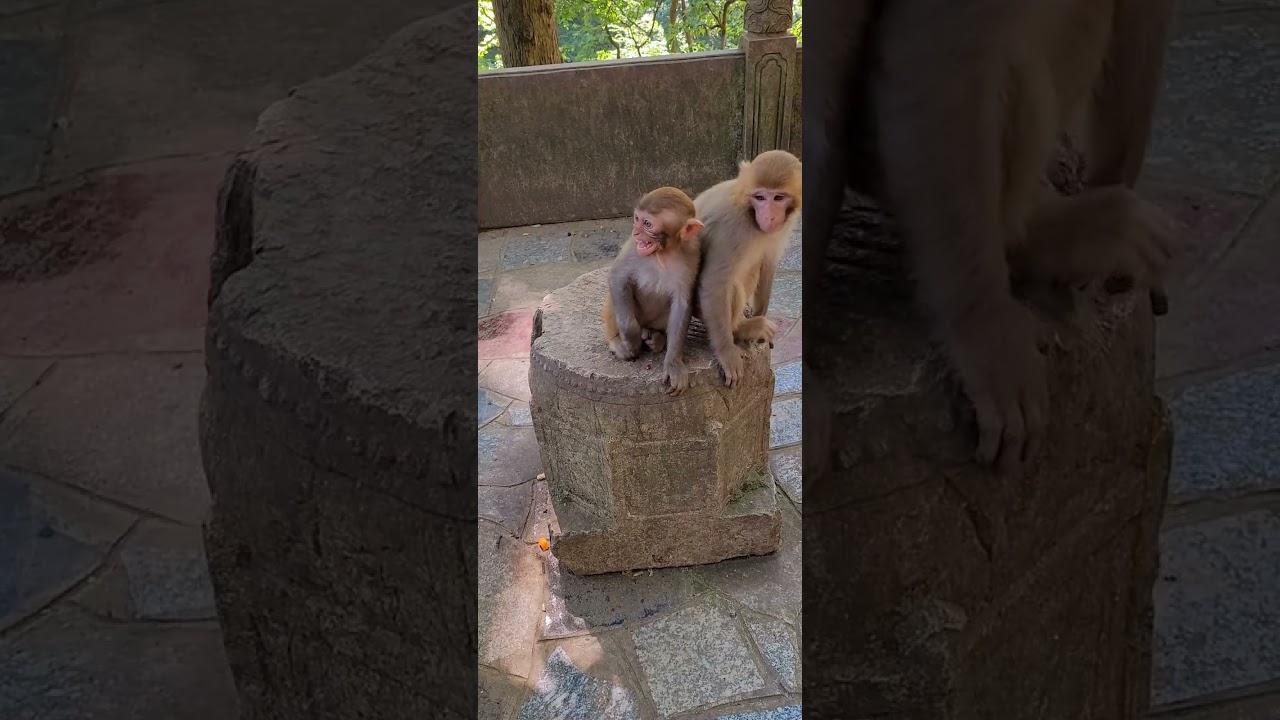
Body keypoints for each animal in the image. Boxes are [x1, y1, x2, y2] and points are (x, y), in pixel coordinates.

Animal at [602, 187, 705, 395]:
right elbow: (618, 277)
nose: (635, 232)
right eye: (636, 218)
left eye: (647, 223)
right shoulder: (633, 247)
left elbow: (682, 303)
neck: (663, 253)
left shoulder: (693, 252)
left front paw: (673, 364)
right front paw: (631, 339)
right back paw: (618, 340)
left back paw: (657, 338)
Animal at [693, 149, 803, 388]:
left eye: (778, 198)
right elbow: (714, 282)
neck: (749, 211)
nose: (769, 216)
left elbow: (768, 262)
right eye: (759, 197)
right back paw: (740, 330)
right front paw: (726, 353)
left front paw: (760, 316)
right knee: (729, 284)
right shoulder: (732, 227)